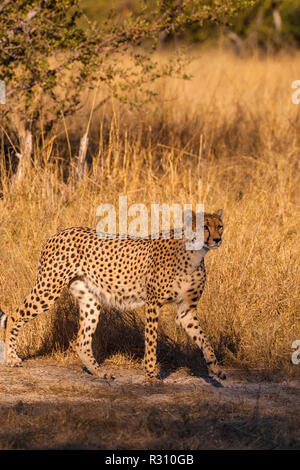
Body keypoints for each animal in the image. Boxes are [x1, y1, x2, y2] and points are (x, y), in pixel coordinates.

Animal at [0, 209, 225, 382]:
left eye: (220, 226)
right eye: (204, 226)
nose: (217, 239)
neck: (195, 253)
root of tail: (61, 232)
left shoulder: (186, 310)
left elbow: (203, 339)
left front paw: (215, 369)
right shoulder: (153, 304)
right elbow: (151, 342)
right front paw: (151, 376)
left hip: (90, 301)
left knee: (82, 341)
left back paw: (99, 372)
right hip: (49, 288)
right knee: (14, 316)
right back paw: (11, 358)